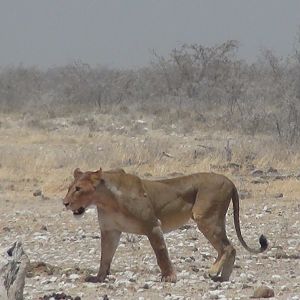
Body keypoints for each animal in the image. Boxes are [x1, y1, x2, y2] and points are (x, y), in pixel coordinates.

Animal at [62, 169, 268, 284]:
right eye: (69, 187)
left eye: (78, 189)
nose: (65, 203)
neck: (106, 201)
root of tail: (230, 181)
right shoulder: (110, 230)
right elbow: (105, 257)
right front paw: (98, 278)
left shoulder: (153, 225)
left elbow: (161, 253)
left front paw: (169, 277)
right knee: (230, 248)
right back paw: (222, 277)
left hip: (205, 217)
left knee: (227, 247)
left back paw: (212, 271)